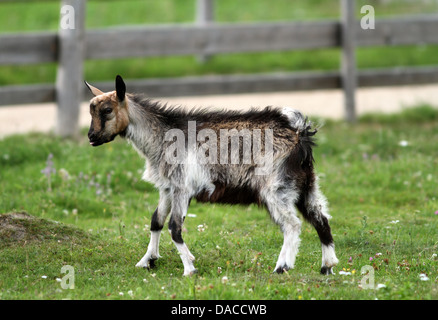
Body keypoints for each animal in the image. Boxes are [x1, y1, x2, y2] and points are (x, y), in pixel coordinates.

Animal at [84, 74, 338, 276]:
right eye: (91, 111)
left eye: (107, 110)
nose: (91, 137)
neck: (161, 136)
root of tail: (299, 132)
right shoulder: (167, 187)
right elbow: (156, 221)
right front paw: (147, 261)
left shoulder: (182, 187)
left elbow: (174, 227)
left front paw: (189, 268)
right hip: (306, 184)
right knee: (320, 218)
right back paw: (327, 266)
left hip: (275, 188)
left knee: (292, 224)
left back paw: (282, 267)